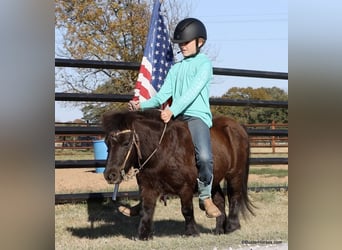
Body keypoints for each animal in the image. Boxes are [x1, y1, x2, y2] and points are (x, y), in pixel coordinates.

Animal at [101, 109, 254, 240]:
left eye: (126, 143)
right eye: (107, 143)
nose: (110, 175)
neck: (162, 151)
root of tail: (238, 127)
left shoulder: (185, 188)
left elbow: (186, 210)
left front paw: (192, 232)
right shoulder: (147, 187)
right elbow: (147, 209)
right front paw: (143, 235)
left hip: (235, 174)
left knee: (234, 196)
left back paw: (231, 227)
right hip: (213, 177)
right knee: (219, 200)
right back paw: (218, 228)